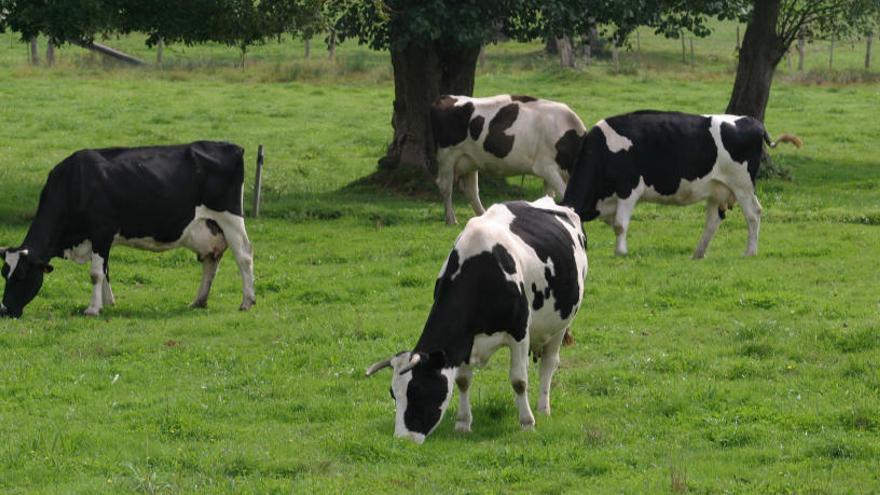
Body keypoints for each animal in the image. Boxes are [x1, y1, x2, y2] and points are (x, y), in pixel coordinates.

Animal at [3, 141, 256, 320]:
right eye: (4, 274)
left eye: (21, 276)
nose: (3, 310)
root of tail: (233, 146)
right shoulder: (100, 239)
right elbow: (105, 270)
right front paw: (108, 303)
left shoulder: (101, 232)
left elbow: (95, 273)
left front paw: (93, 309)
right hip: (210, 227)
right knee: (211, 260)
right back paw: (199, 301)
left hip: (230, 218)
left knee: (244, 256)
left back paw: (247, 301)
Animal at [368, 198, 588, 446]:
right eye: (393, 393)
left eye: (419, 391)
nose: (403, 440)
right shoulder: (465, 340)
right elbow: (463, 380)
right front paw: (463, 423)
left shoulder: (519, 332)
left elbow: (519, 380)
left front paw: (527, 423)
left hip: (561, 323)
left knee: (549, 364)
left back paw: (543, 408)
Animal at [432, 95, 588, 227]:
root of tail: (446, 98)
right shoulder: (546, 168)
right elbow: (563, 193)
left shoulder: (550, 174)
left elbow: (549, 196)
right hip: (447, 156)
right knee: (445, 187)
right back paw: (451, 219)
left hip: (470, 160)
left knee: (471, 191)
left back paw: (483, 215)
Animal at [560, 111, 800, 260]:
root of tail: (752, 121)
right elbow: (615, 224)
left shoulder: (629, 188)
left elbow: (620, 224)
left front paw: (621, 253)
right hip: (717, 189)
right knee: (712, 221)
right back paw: (698, 254)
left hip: (742, 185)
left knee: (753, 213)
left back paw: (750, 251)